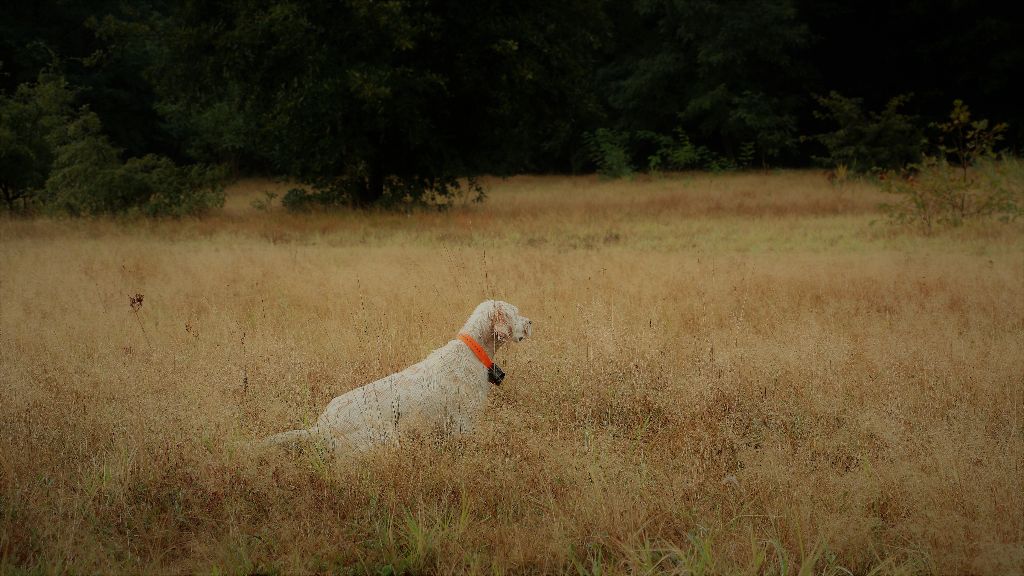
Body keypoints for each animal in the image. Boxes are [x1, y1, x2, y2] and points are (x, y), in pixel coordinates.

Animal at [260, 297, 532, 450]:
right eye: (515, 313)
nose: (531, 322)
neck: (473, 351)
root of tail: (321, 427)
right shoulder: (463, 422)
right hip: (384, 437)